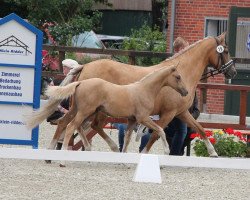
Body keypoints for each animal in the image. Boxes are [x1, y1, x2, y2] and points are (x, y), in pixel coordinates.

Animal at [46, 65, 188, 159]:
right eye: (178, 77)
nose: (185, 92)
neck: (144, 90)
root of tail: (80, 82)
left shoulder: (132, 120)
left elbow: (127, 139)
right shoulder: (143, 118)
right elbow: (160, 130)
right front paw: (166, 151)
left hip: (79, 110)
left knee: (66, 123)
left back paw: (51, 152)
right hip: (85, 112)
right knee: (71, 127)